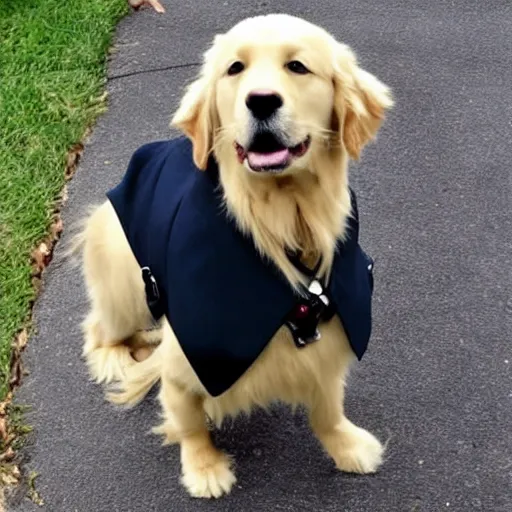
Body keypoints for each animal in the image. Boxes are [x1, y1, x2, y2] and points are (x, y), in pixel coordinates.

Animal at [78, 13, 394, 500]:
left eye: (298, 67)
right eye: (234, 69)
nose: (260, 101)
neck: (282, 221)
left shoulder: (331, 340)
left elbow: (327, 406)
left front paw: (346, 444)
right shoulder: (185, 359)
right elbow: (187, 420)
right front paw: (205, 467)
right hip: (124, 279)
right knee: (100, 328)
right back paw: (114, 356)